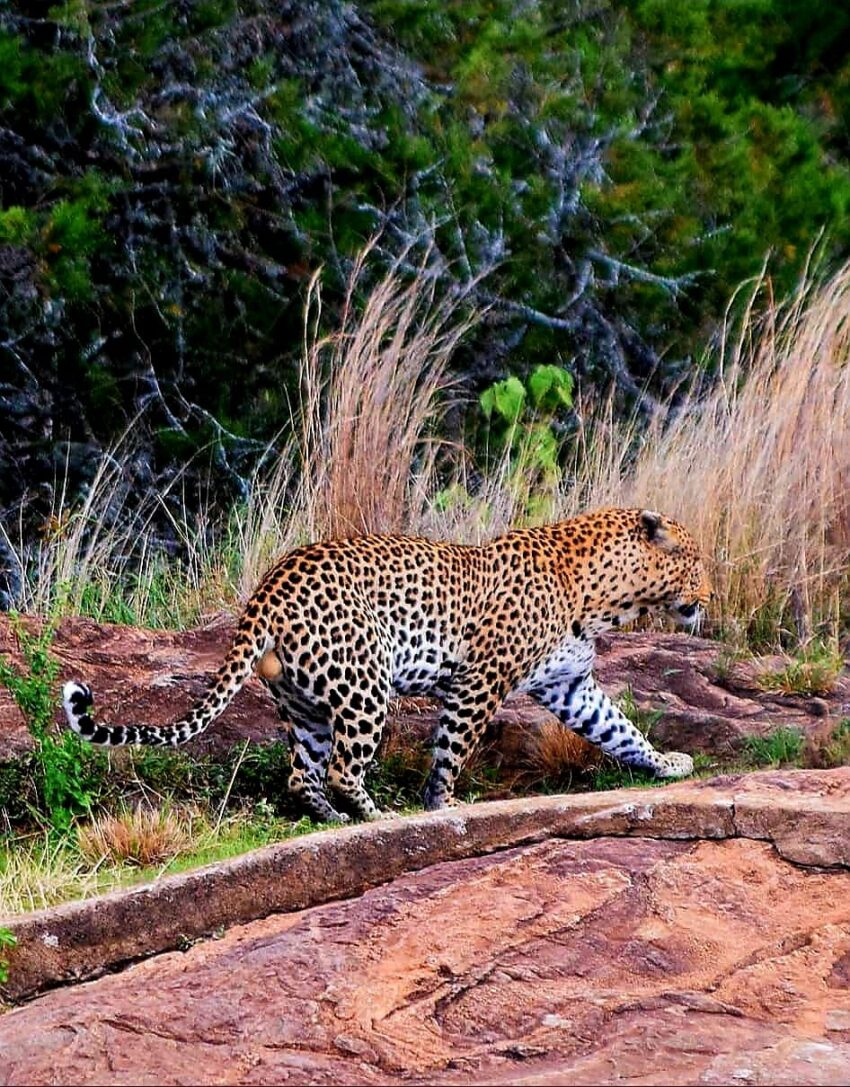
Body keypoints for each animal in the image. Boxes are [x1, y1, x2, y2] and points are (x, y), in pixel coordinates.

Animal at [63, 507, 712, 824]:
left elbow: (620, 729)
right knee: (342, 769)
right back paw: (377, 814)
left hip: (306, 703)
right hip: (365, 686)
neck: (603, 596)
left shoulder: (570, 686)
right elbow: (452, 748)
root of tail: (268, 588)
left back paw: (338, 821)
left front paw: (666, 764)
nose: (708, 597)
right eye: (697, 561)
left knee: (303, 774)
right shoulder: (480, 681)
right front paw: (442, 805)